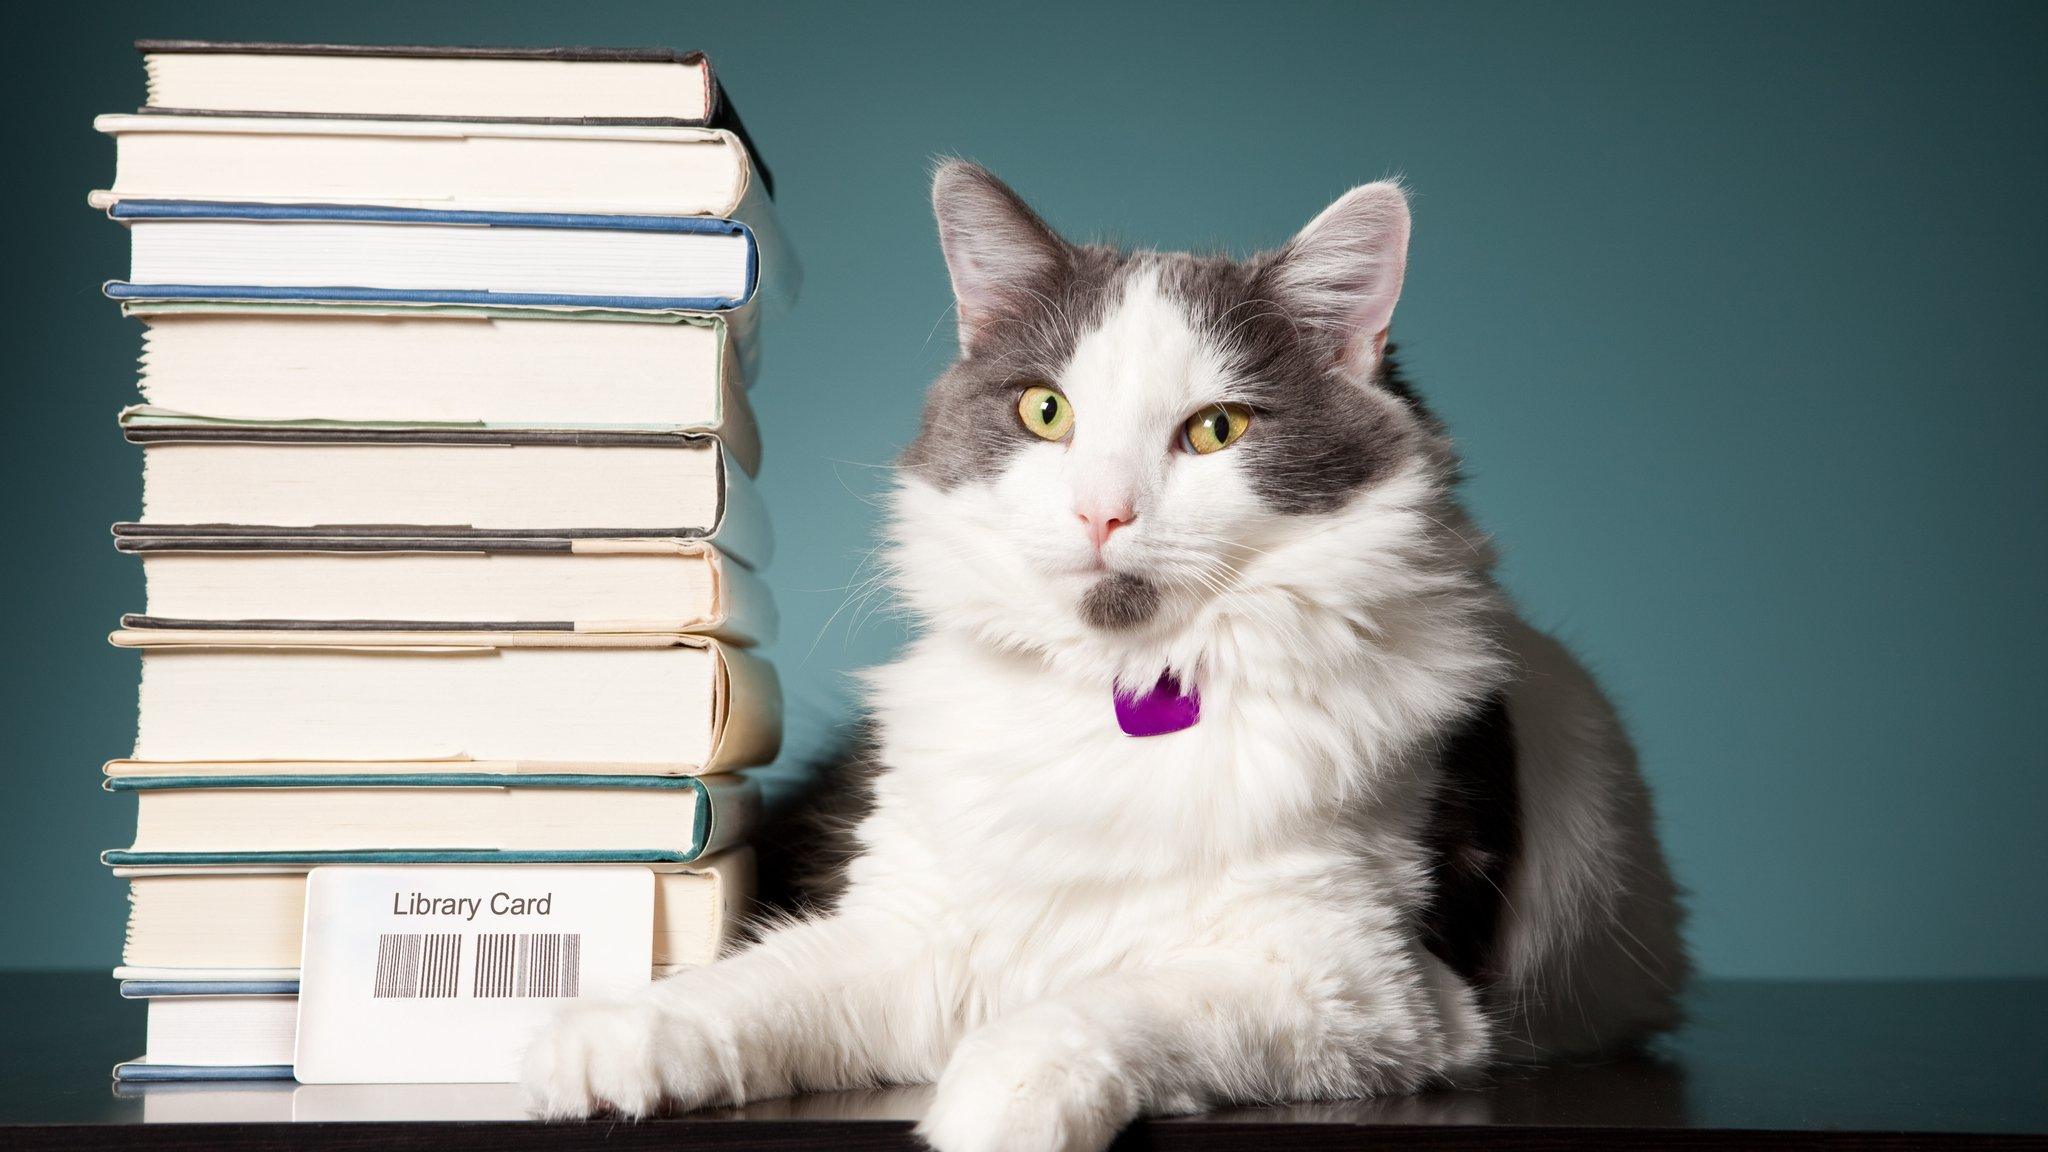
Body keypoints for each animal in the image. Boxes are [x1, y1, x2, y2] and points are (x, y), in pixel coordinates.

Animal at [520, 161, 1687, 1147]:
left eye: (1216, 430)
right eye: (1046, 411)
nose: (1101, 513)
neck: (1119, 694)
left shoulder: (1357, 982)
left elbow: (1109, 1005)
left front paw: (995, 1098)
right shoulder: (914, 928)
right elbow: (766, 983)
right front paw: (617, 1037)